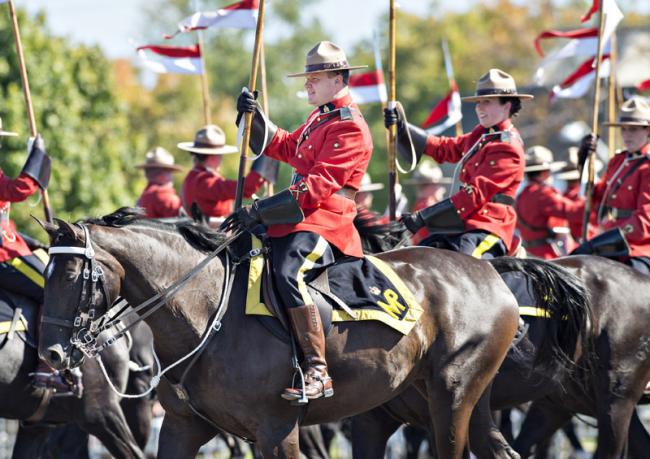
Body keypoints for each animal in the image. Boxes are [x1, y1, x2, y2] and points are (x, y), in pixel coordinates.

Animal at [34, 209, 588, 459]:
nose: (52, 354)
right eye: (46, 272)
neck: (209, 311)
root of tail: (491, 270)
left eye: (75, 275)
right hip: (449, 399)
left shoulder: (277, 432)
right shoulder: (182, 427)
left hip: (451, 397)